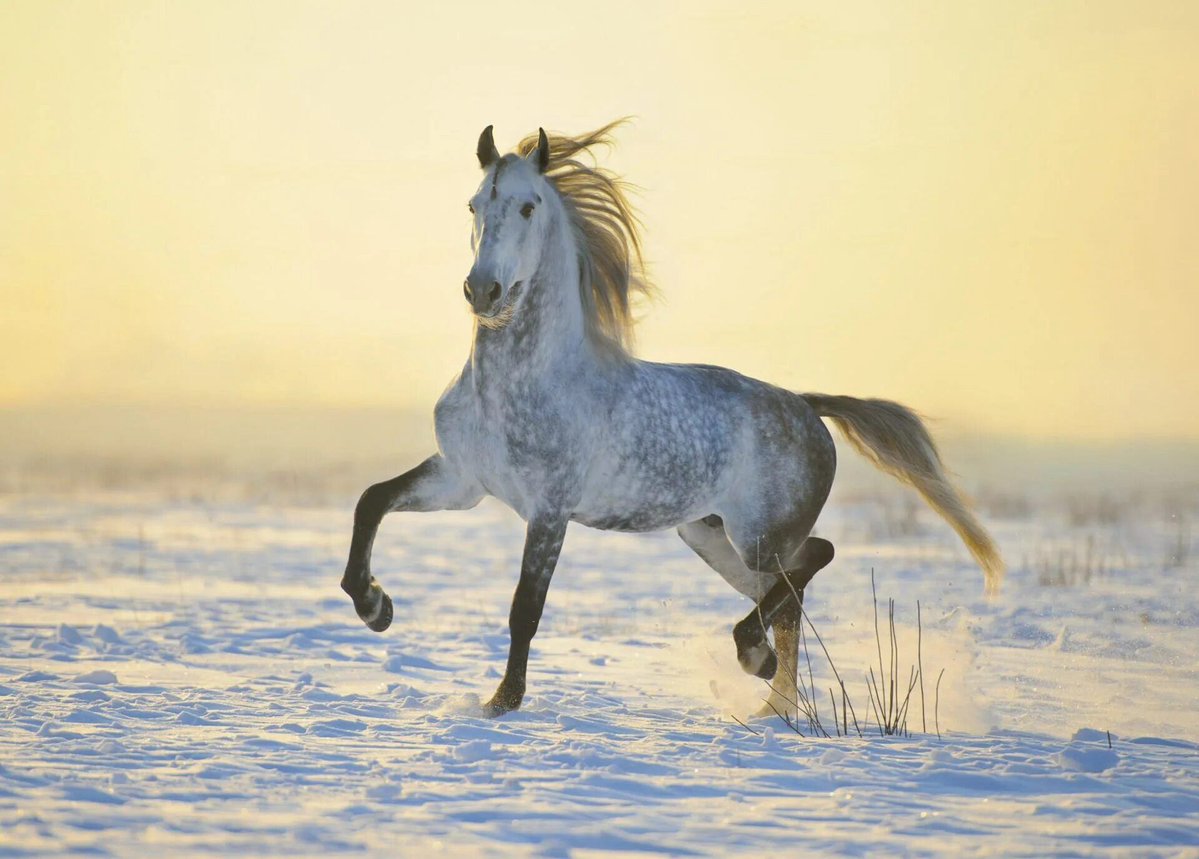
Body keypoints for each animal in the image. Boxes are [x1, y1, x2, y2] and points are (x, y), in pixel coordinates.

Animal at [340, 122, 1002, 719]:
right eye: (474, 205)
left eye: (528, 206)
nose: (484, 290)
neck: (519, 386)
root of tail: (806, 405)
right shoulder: (464, 480)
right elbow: (372, 500)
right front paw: (376, 607)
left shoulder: (550, 509)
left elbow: (525, 608)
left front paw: (501, 703)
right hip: (707, 533)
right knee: (787, 597)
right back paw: (772, 701)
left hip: (759, 533)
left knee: (813, 561)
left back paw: (755, 660)